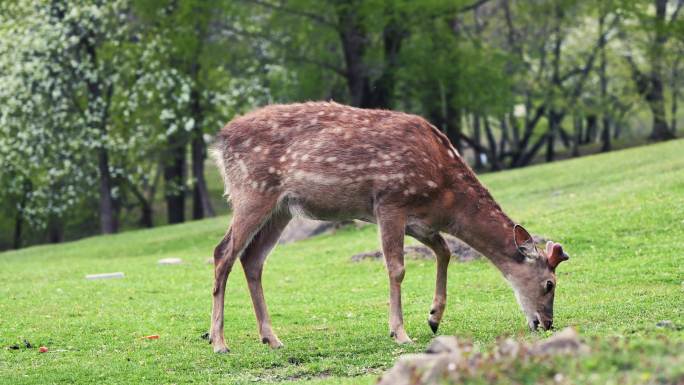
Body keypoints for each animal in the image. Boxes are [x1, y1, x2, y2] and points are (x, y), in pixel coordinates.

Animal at [207, 100, 568, 352]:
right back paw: (219, 341)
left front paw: (434, 317)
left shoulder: (419, 220)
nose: (547, 323)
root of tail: (220, 141)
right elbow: (397, 267)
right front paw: (400, 332)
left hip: (281, 208)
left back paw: (271, 338)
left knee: (252, 258)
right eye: (549, 284)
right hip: (251, 191)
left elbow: (445, 251)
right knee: (223, 252)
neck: (444, 195)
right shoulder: (390, 200)